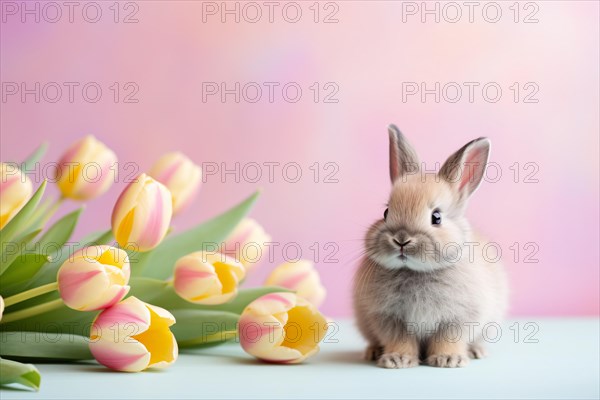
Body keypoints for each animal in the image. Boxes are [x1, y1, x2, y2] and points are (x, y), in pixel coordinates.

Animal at [354, 125, 508, 368]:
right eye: (386, 212)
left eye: (436, 217)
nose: (401, 239)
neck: (416, 271)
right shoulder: (390, 318)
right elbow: (400, 341)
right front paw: (397, 360)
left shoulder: (456, 319)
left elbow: (447, 340)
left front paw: (449, 360)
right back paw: (372, 352)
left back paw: (476, 351)